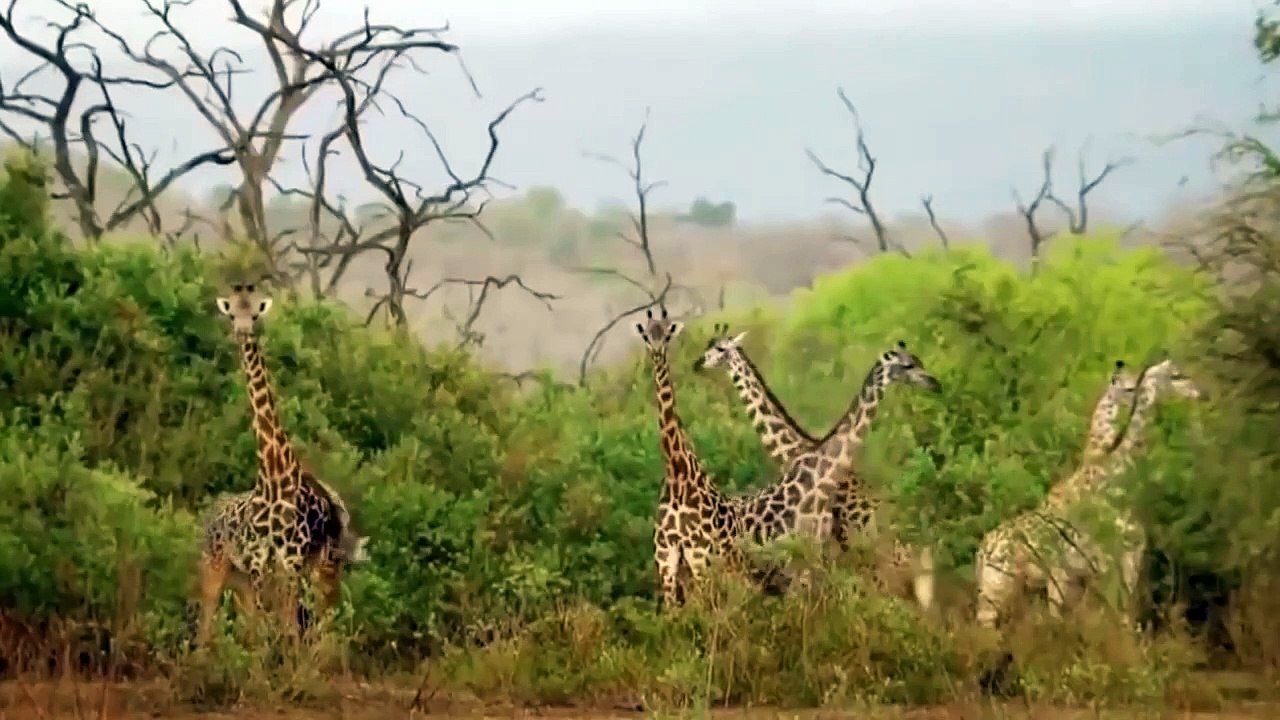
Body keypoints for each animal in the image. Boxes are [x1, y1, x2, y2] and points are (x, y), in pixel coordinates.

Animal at [195, 283, 368, 646]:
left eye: (255, 313)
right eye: (232, 313)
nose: (242, 331)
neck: (275, 474)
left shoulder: (291, 558)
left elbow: (286, 626)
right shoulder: (263, 561)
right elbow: (271, 626)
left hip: (301, 566)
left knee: (319, 616)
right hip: (218, 564)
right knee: (211, 618)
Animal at [636, 308, 744, 608]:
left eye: (668, 334)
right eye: (647, 336)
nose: (657, 353)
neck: (677, 473)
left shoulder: (697, 551)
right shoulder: (665, 554)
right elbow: (673, 610)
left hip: (725, 560)